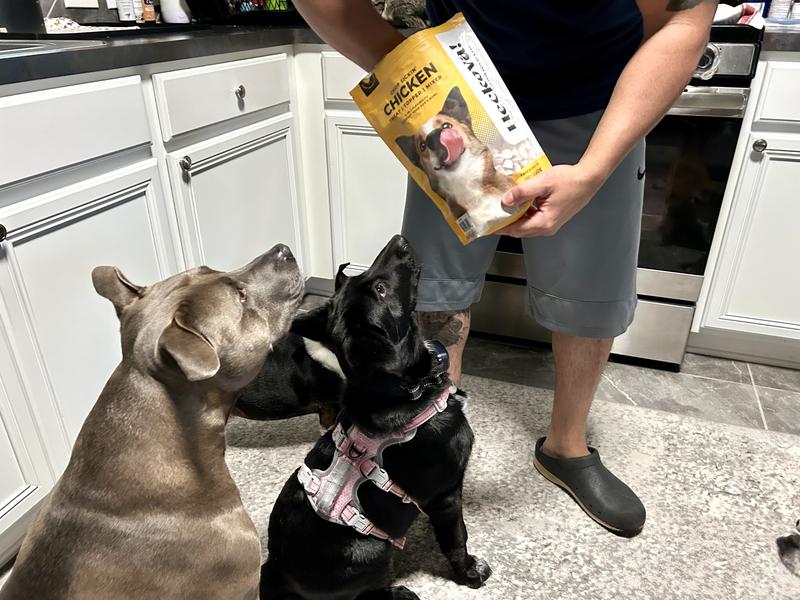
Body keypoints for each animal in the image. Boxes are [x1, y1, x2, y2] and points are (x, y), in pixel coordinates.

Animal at [260, 235, 491, 600]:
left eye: (369, 280)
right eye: (382, 290)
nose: (400, 240)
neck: (408, 392)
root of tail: (274, 569)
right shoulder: (446, 496)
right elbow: (457, 539)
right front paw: (469, 573)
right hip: (373, 550)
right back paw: (400, 593)